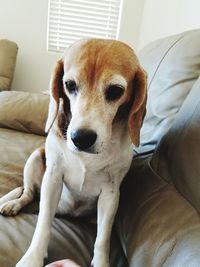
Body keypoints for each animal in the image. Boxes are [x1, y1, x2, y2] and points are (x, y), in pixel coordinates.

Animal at [0, 39, 147, 267]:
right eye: (70, 85)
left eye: (115, 91)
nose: (81, 138)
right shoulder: (52, 178)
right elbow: (43, 224)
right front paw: (32, 258)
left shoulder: (111, 193)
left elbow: (103, 237)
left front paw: (101, 262)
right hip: (35, 159)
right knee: (29, 193)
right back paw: (15, 203)